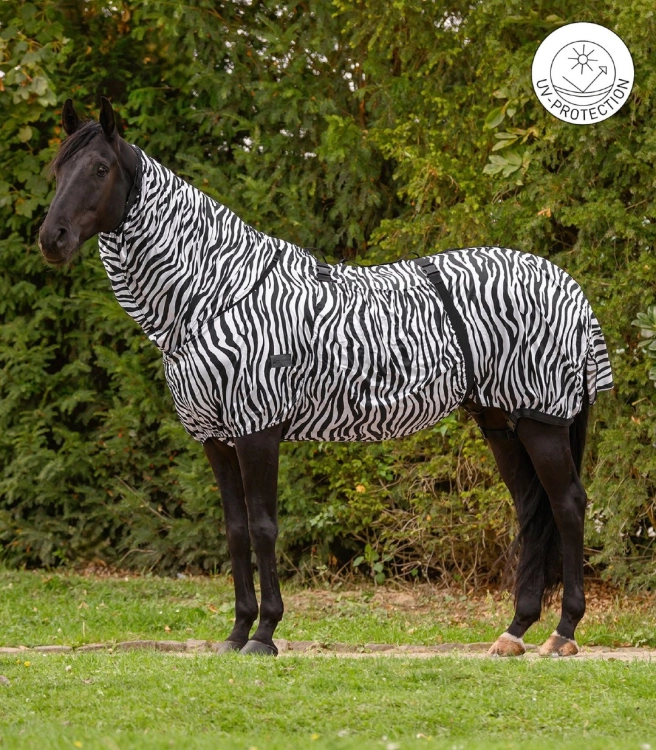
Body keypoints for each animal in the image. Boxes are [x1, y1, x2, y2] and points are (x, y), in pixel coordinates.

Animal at [39, 98, 613, 658]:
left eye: (100, 168)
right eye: (58, 169)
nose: (52, 240)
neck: (215, 293)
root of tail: (569, 286)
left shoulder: (257, 429)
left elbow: (264, 527)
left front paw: (264, 634)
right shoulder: (215, 438)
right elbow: (235, 531)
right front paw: (236, 632)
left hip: (541, 420)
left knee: (567, 505)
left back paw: (563, 633)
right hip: (500, 421)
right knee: (532, 510)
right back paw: (515, 632)